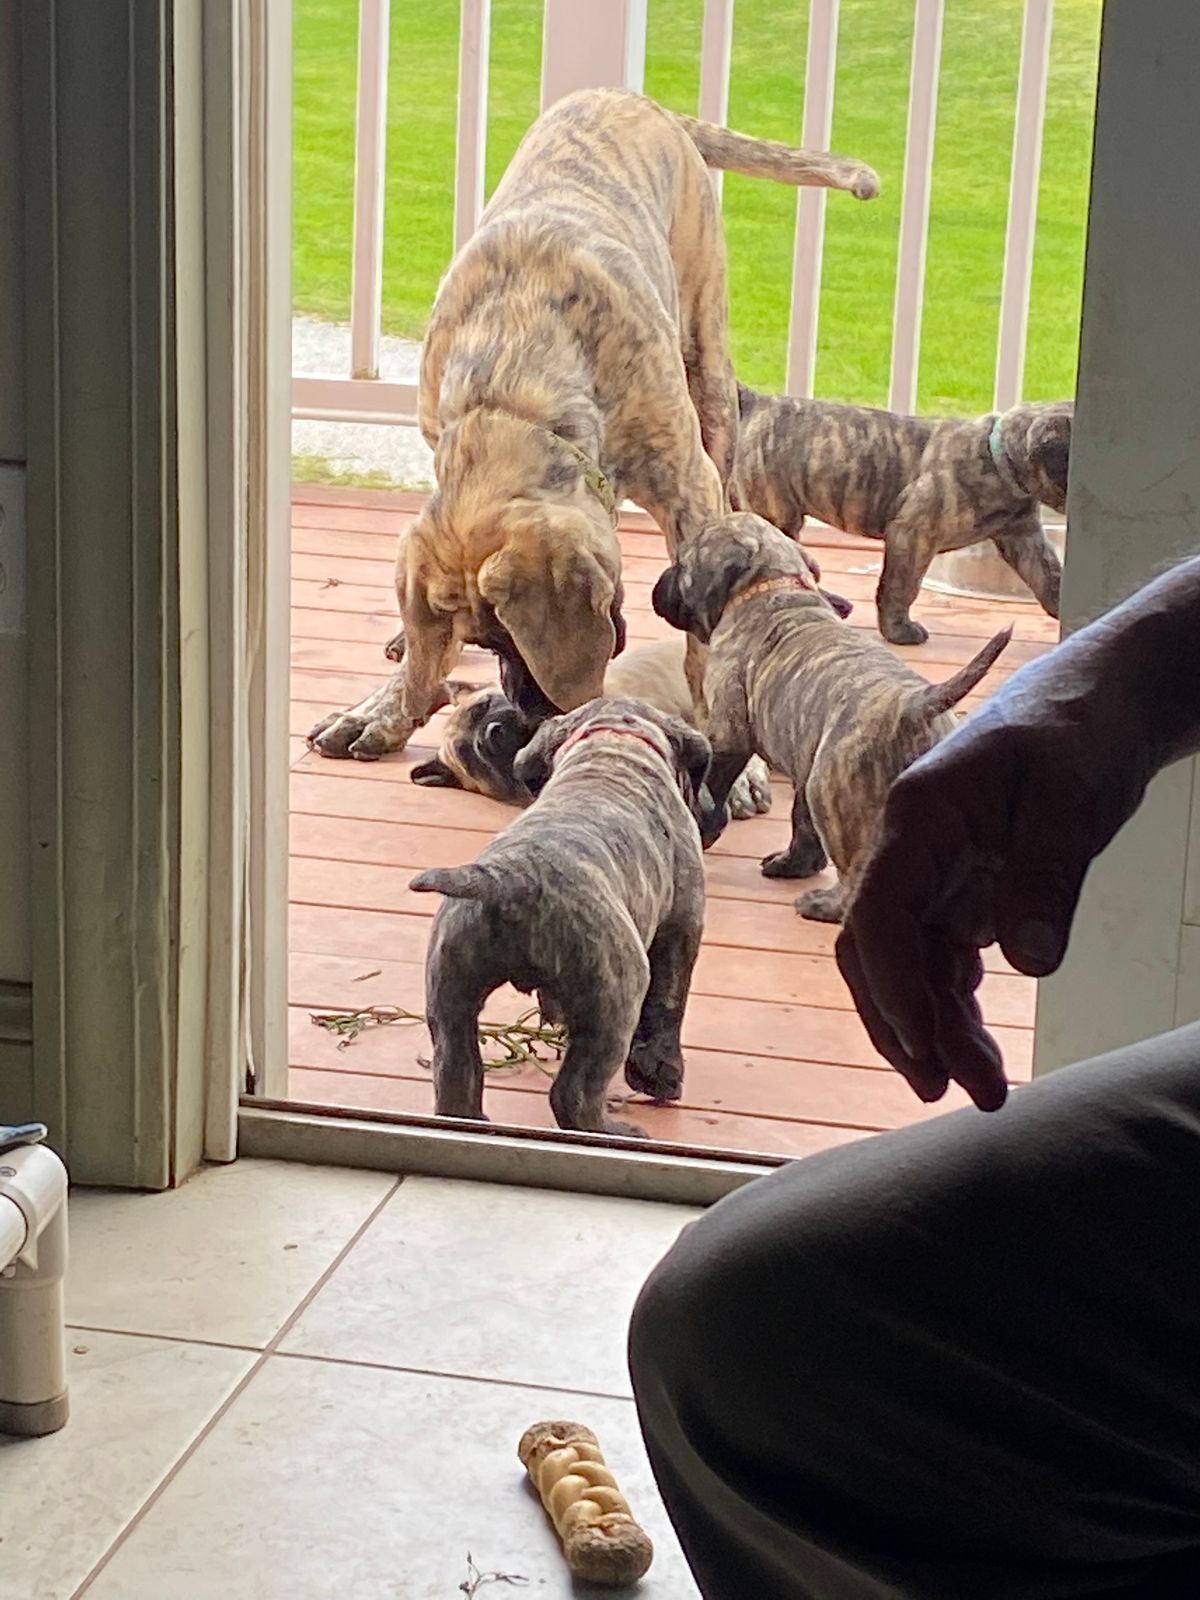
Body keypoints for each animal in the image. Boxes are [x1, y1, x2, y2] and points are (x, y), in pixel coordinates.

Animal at [307, 89, 877, 761]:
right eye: (489, 643)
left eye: (514, 636)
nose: (531, 712)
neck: (511, 381)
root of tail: (637, 99)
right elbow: (424, 638)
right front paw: (388, 704)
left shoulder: (687, 485)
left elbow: (704, 628)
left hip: (708, 361)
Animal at [410, 698, 709, 1137]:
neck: (611, 749)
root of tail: (506, 879)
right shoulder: (682, 924)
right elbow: (669, 1002)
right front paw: (660, 1072)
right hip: (617, 996)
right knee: (575, 1093)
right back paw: (613, 1131)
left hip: (451, 993)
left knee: (455, 1072)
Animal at [652, 514, 1011, 923]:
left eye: (683, 563)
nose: (659, 585)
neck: (772, 584)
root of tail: (917, 703)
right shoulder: (804, 763)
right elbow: (801, 822)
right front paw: (794, 865)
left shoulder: (729, 736)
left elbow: (712, 789)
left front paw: (703, 831)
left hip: (832, 794)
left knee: (854, 870)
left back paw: (824, 905)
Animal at [732, 385, 1070, 645]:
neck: (996, 460)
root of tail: (759, 402)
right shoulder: (913, 532)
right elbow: (902, 586)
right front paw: (898, 630)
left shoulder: (1023, 537)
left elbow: (1050, 576)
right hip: (778, 513)